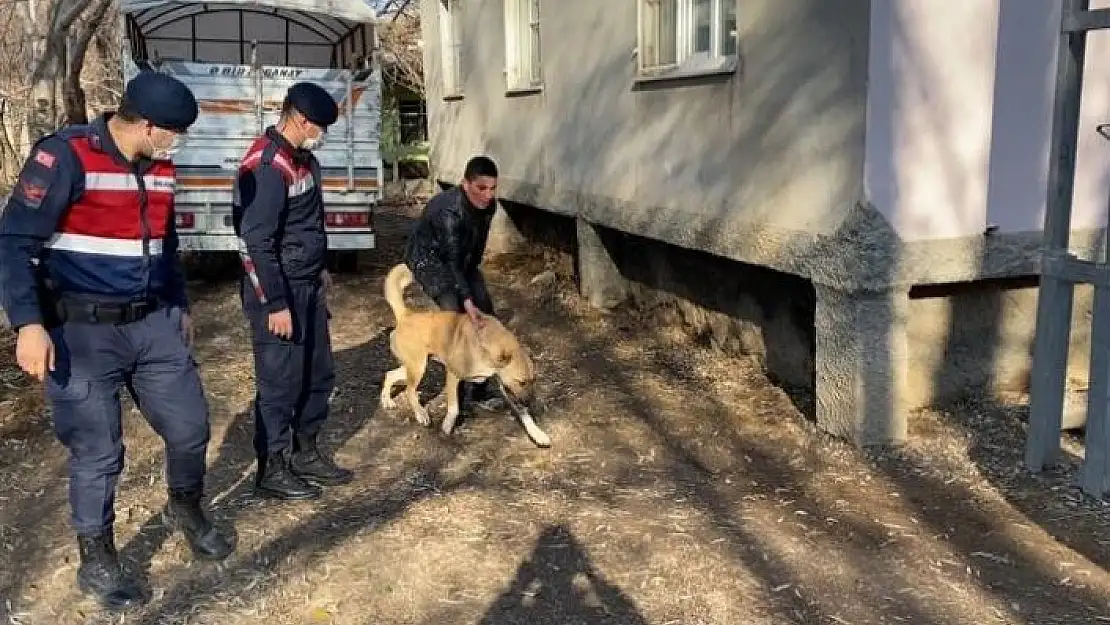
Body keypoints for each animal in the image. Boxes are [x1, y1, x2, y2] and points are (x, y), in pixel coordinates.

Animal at [381, 261, 555, 448]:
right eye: (521, 382)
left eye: (533, 380)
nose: (531, 402)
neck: (487, 346)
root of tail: (406, 315)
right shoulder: (453, 375)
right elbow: (454, 407)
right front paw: (447, 427)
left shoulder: (505, 386)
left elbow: (524, 414)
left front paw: (537, 434)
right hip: (419, 368)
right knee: (409, 390)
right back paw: (421, 414)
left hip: (415, 365)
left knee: (390, 374)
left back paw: (386, 401)